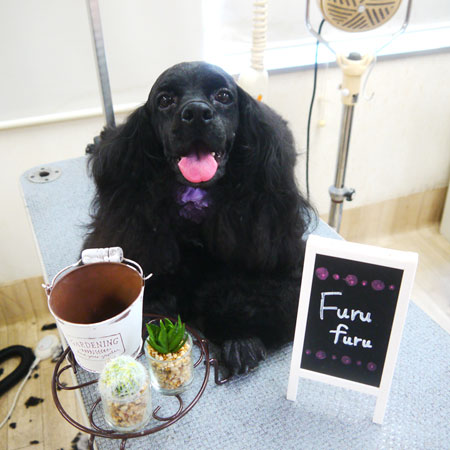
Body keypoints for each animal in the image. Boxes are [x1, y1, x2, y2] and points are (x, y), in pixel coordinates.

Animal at [83, 61, 313, 374]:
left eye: (224, 95)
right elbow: (150, 295)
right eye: (165, 100)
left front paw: (240, 340)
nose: (195, 113)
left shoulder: (284, 258)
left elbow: (259, 294)